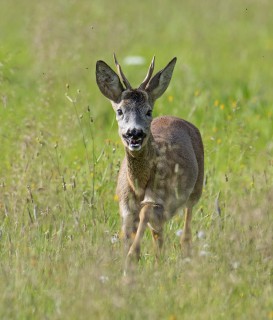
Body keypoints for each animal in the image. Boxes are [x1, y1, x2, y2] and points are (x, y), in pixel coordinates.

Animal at [94, 55, 203, 270]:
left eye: (149, 111)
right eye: (120, 111)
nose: (134, 133)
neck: (139, 185)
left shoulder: (158, 198)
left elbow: (145, 215)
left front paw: (132, 258)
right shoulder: (125, 206)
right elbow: (127, 234)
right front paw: (126, 266)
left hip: (196, 188)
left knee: (185, 230)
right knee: (159, 235)